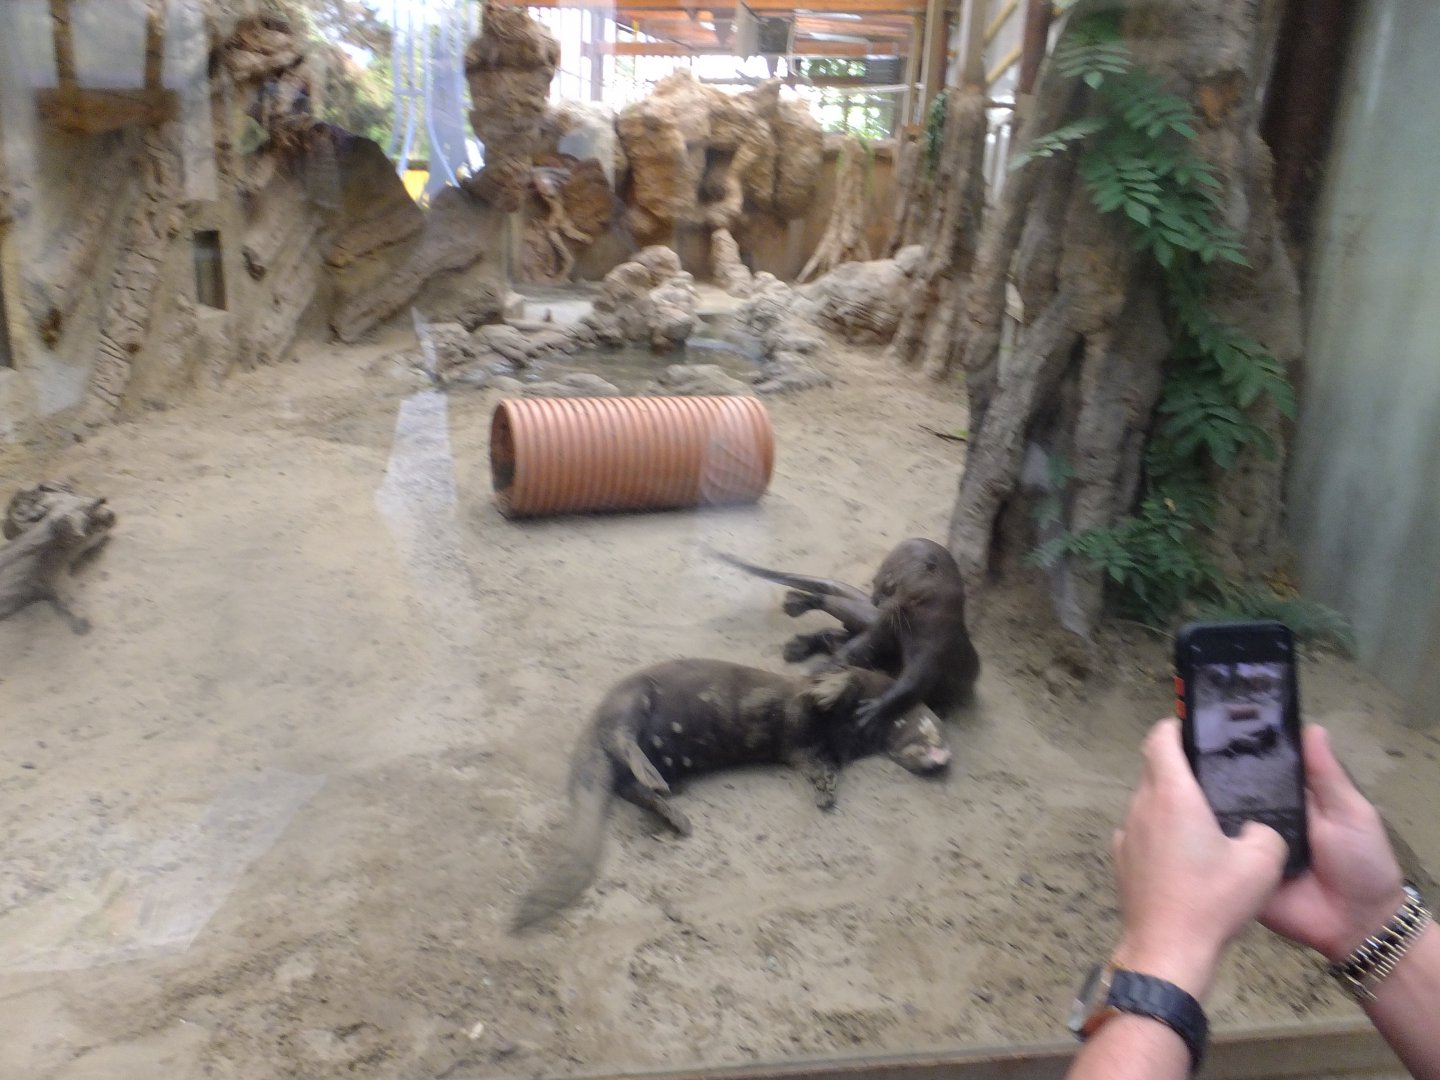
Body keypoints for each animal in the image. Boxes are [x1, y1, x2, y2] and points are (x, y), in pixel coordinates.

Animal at [511, 658, 950, 931]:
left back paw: (672, 810)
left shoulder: (814, 750)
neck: (855, 732)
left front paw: (826, 792)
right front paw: (829, 691)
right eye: (937, 730)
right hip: (630, 698)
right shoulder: (836, 690)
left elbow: (818, 764)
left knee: (627, 783)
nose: (943, 763)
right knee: (620, 738)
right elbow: (834, 682)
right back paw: (656, 780)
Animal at [715, 538, 980, 729]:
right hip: (864, 616)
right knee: (832, 621)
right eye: (874, 581)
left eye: (890, 586)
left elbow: (913, 684)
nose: (875, 600)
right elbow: (860, 648)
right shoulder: (884, 628)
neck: (921, 626)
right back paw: (798, 615)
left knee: (833, 635)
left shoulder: (935, 649)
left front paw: (872, 710)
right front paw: (824, 669)